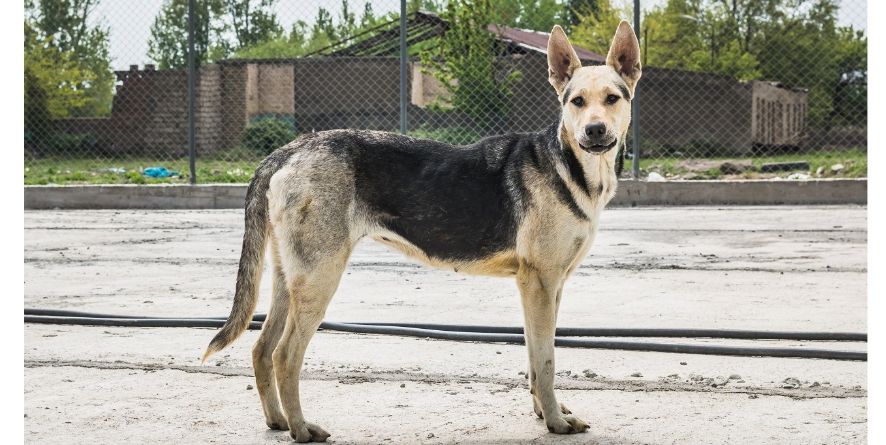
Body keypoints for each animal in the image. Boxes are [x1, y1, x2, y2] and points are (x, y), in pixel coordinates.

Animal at [205, 21, 640, 440]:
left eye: (612, 99)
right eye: (576, 101)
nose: (595, 131)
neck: (572, 166)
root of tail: (289, 149)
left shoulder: (548, 287)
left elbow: (536, 359)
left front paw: (545, 412)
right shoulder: (540, 284)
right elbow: (546, 361)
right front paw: (554, 422)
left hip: (288, 279)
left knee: (261, 350)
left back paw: (277, 421)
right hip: (318, 281)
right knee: (285, 356)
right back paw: (301, 428)